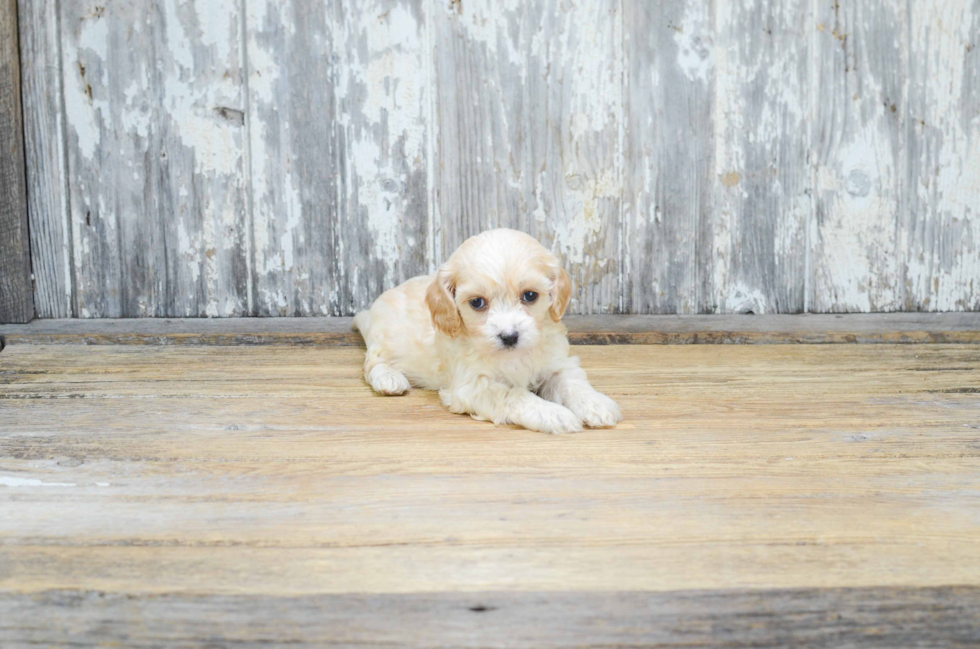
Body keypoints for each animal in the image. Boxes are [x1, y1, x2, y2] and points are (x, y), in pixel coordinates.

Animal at [356, 228, 624, 436]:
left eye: (530, 295)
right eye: (477, 302)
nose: (509, 336)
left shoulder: (558, 362)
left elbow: (572, 382)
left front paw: (595, 403)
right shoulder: (472, 386)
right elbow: (514, 395)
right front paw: (552, 414)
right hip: (383, 339)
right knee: (372, 363)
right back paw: (389, 379)